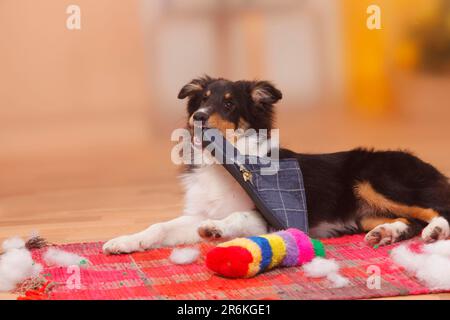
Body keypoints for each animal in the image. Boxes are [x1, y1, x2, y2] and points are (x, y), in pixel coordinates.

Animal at [103, 76, 450, 254]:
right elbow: (160, 226)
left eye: (229, 104)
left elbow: (237, 215)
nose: (198, 117)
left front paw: (217, 228)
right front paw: (124, 242)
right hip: (365, 212)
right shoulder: (196, 213)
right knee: (409, 221)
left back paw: (435, 231)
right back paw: (385, 234)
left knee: (438, 210)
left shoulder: (269, 216)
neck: (222, 164)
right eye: (201, 100)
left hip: (375, 178)